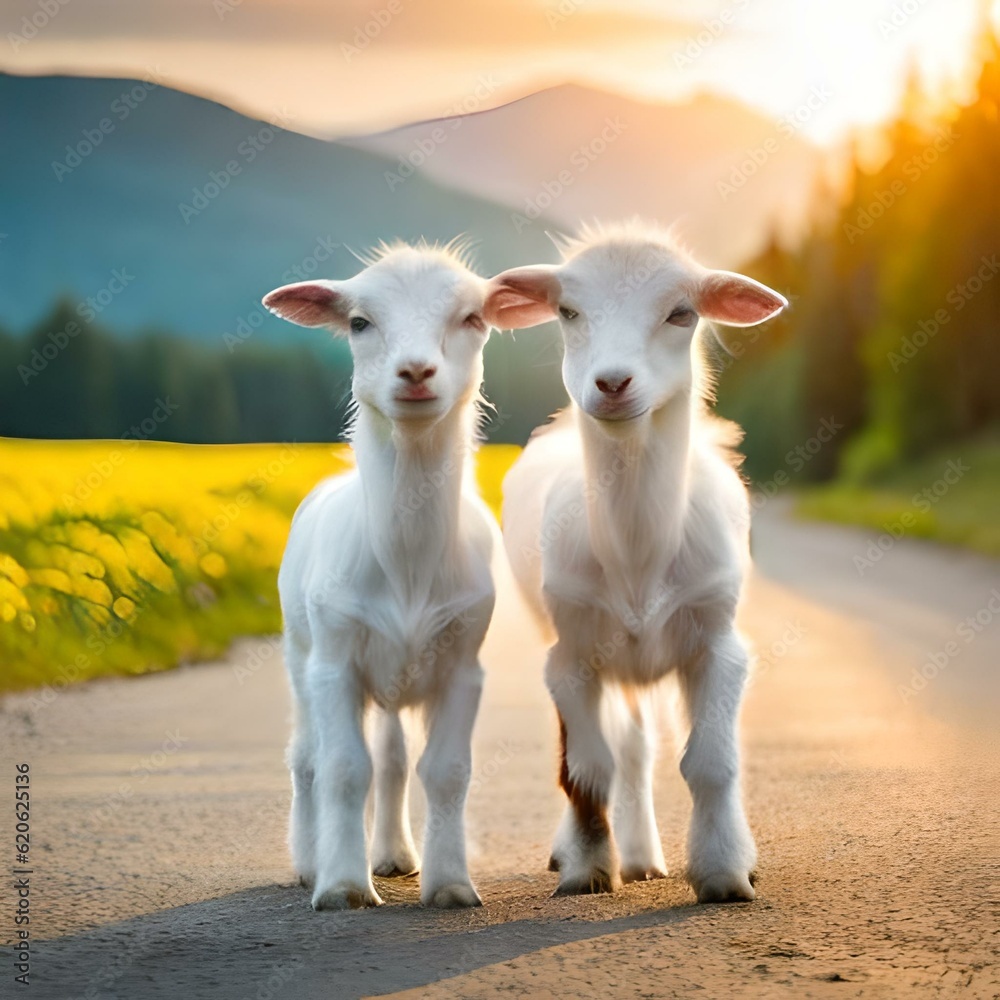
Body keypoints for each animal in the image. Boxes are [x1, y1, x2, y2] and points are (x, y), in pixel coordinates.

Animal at [262, 242, 497, 910]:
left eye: (472, 317)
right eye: (360, 322)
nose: (416, 372)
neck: (408, 560)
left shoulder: (465, 660)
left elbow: (445, 771)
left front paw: (451, 884)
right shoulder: (335, 658)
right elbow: (345, 769)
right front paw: (343, 887)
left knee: (392, 758)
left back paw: (394, 854)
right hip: (300, 654)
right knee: (307, 759)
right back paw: (309, 861)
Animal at [483, 221, 787, 903]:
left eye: (682, 313)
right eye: (568, 311)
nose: (612, 383)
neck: (638, 555)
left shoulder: (718, 640)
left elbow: (711, 762)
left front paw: (725, 871)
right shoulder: (570, 651)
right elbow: (586, 769)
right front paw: (589, 867)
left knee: (640, 746)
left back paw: (649, 858)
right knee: (623, 750)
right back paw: (620, 854)